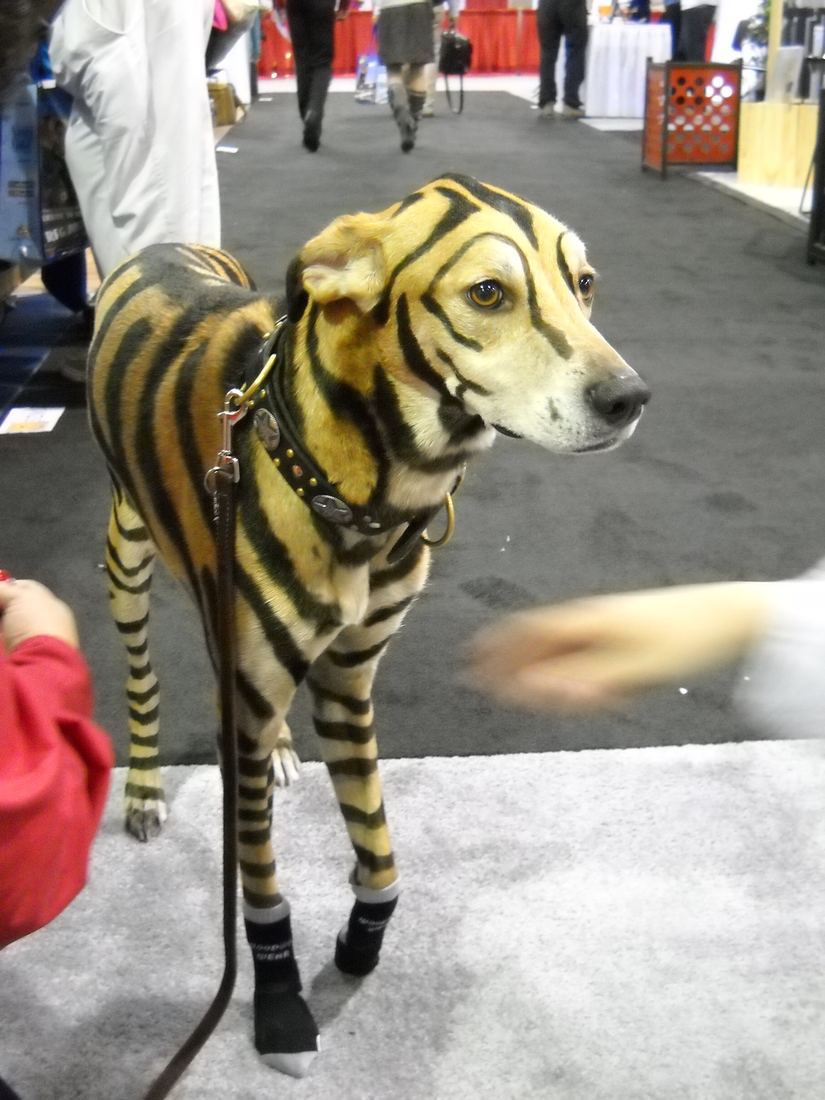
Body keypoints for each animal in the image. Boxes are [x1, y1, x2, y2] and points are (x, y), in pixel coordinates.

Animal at [87, 172, 649, 1078]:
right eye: (486, 293)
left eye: (584, 283)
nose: (629, 399)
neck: (371, 487)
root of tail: (161, 246)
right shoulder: (256, 698)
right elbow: (260, 888)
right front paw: (280, 1002)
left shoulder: (348, 685)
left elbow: (382, 865)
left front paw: (360, 943)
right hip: (127, 556)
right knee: (143, 676)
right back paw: (142, 785)